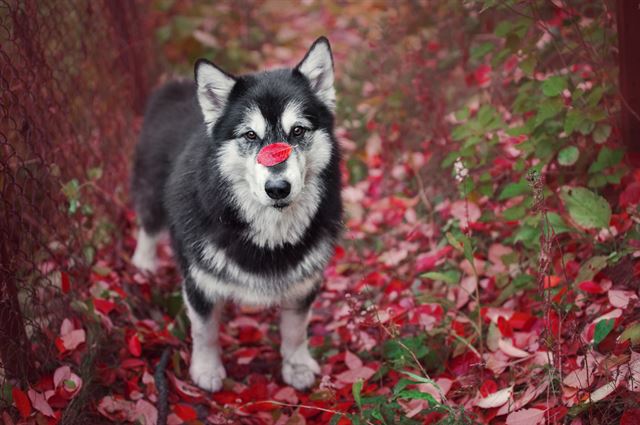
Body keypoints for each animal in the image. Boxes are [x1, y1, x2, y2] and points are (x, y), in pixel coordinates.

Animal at [127, 37, 342, 390]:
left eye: (298, 131)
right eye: (250, 135)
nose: (278, 188)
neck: (269, 234)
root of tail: (176, 87)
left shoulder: (304, 283)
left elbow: (295, 331)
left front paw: (296, 365)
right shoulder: (199, 282)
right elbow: (205, 332)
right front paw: (206, 369)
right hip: (151, 195)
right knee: (148, 227)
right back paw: (143, 265)